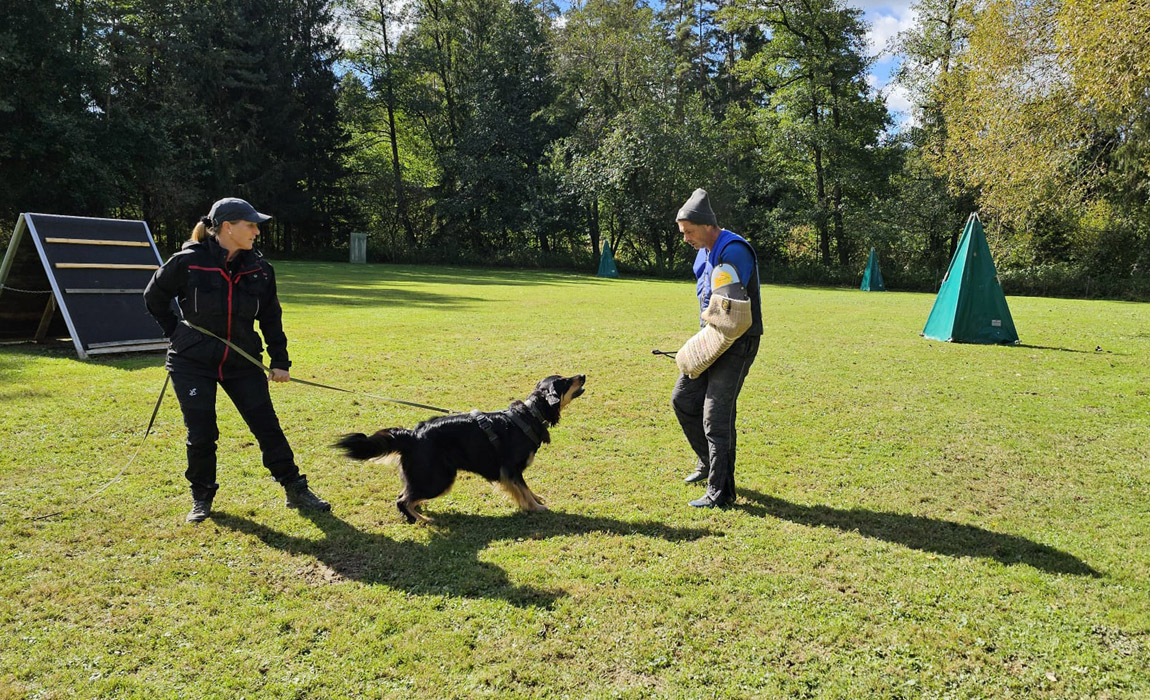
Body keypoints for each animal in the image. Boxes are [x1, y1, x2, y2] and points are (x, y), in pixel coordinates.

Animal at [333, 374, 584, 521]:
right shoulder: (511, 469)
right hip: (440, 478)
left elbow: (526, 489)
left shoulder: (511, 472)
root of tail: (413, 435)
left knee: (405, 495)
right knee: (402, 500)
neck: (531, 414)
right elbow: (522, 489)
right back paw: (423, 520)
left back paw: (419, 512)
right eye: (564, 381)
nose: (582, 375)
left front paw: (536, 500)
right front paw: (535, 507)